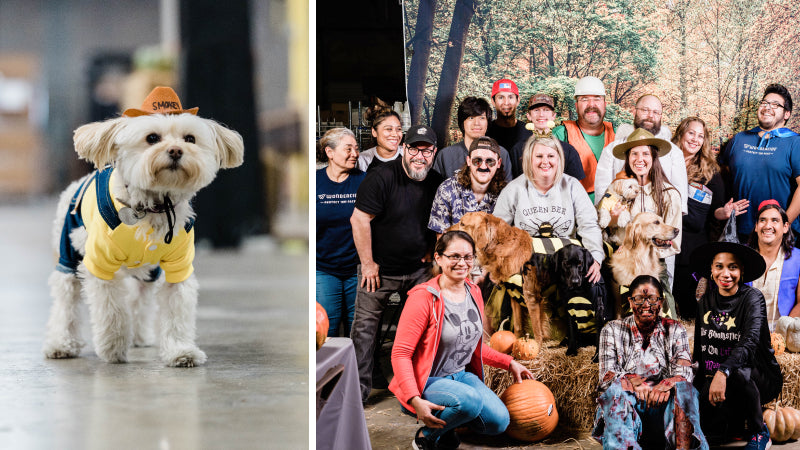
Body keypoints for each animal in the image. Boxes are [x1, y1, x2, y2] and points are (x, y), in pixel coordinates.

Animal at [43, 86, 244, 368]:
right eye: (152, 138)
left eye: (190, 139)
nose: (175, 151)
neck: (154, 206)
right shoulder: (100, 266)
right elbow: (112, 312)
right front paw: (113, 347)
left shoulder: (179, 267)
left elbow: (176, 313)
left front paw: (180, 350)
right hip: (68, 255)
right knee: (65, 303)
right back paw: (61, 343)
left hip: (147, 274)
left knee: (139, 299)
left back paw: (138, 337)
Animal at [446, 212, 552, 348]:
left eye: (462, 223)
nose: (445, 231)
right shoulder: (515, 296)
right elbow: (517, 325)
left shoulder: (531, 296)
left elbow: (536, 327)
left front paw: (536, 345)